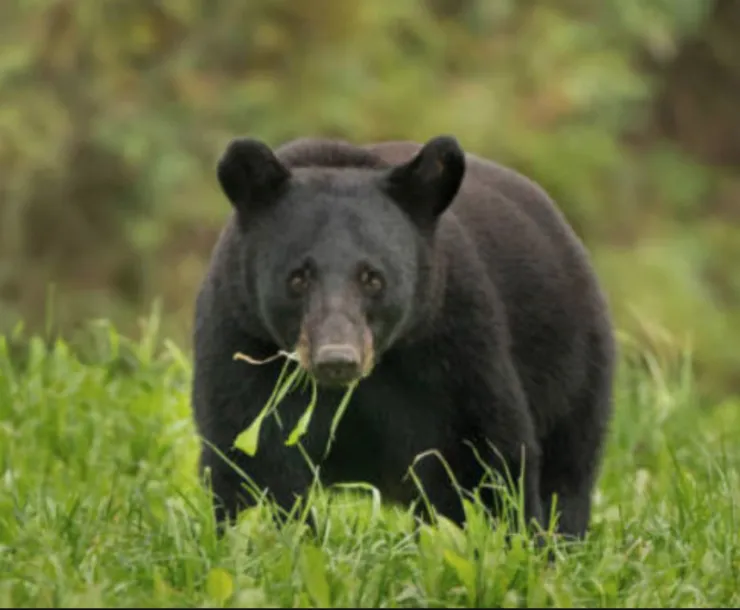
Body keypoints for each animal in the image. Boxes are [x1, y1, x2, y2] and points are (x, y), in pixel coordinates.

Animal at [191, 133, 616, 542]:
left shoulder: (453, 346)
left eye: (372, 277)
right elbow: (253, 459)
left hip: (573, 367)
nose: (337, 359)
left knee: (568, 472)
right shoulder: (243, 339)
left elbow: (483, 459)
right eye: (298, 277)